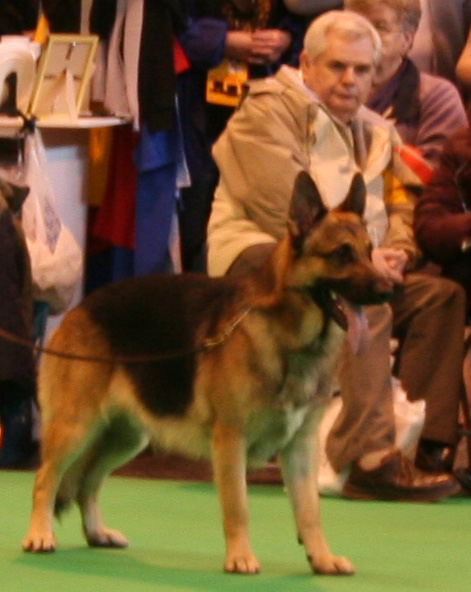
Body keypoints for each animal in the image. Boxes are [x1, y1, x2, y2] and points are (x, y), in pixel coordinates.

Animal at [21, 173, 390, 576]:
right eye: (342, 254)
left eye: (370, 252)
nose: (390, 289)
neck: (286, 335)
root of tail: (80, 307)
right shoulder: (230, 442)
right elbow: (238, 506)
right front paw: (240, 557)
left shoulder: (301, 447)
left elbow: (310, 511)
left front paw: (321, 558)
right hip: (77, 427)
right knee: (45, 479)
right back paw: (39, 535)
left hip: (125, 438)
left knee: (87, 484)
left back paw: (97, 533)